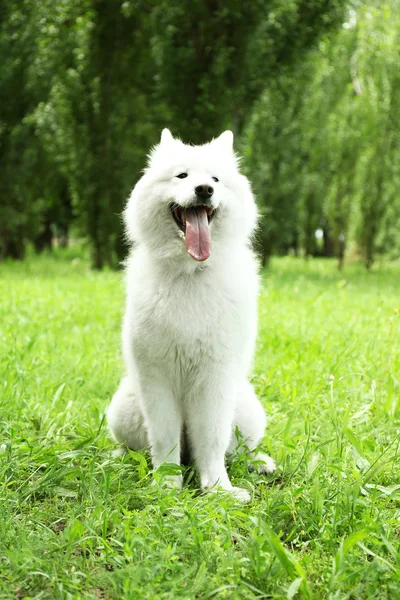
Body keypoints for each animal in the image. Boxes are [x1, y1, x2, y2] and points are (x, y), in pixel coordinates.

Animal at [106, 127, 276, 502]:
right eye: (182, 176)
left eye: (215, 179)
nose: (204, 190)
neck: (190, 273)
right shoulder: (157, 378)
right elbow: (165, 439)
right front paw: (167, 486)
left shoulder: (215, 378)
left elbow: (212, 441)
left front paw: (217, 489)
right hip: (124, 406)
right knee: (135, 448)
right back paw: (118, 458)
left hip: (247, 409)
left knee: (239, 450)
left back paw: (261, 463)